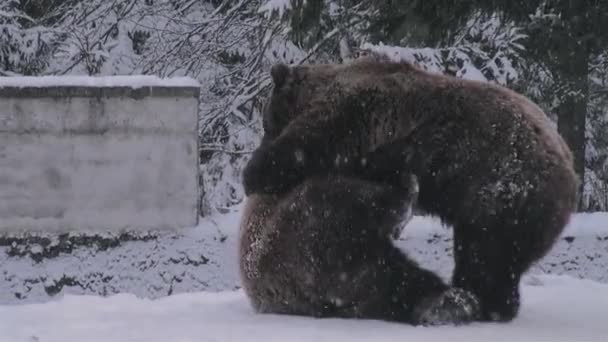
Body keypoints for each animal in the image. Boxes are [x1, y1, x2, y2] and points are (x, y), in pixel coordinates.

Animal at [242, 54, 580, 322]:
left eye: (266, 120)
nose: (262, 138)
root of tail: (568, 162)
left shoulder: (354, 113)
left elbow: (306, 144)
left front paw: (254, 173)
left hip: (504, 186)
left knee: (488, 254)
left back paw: (478, 302)